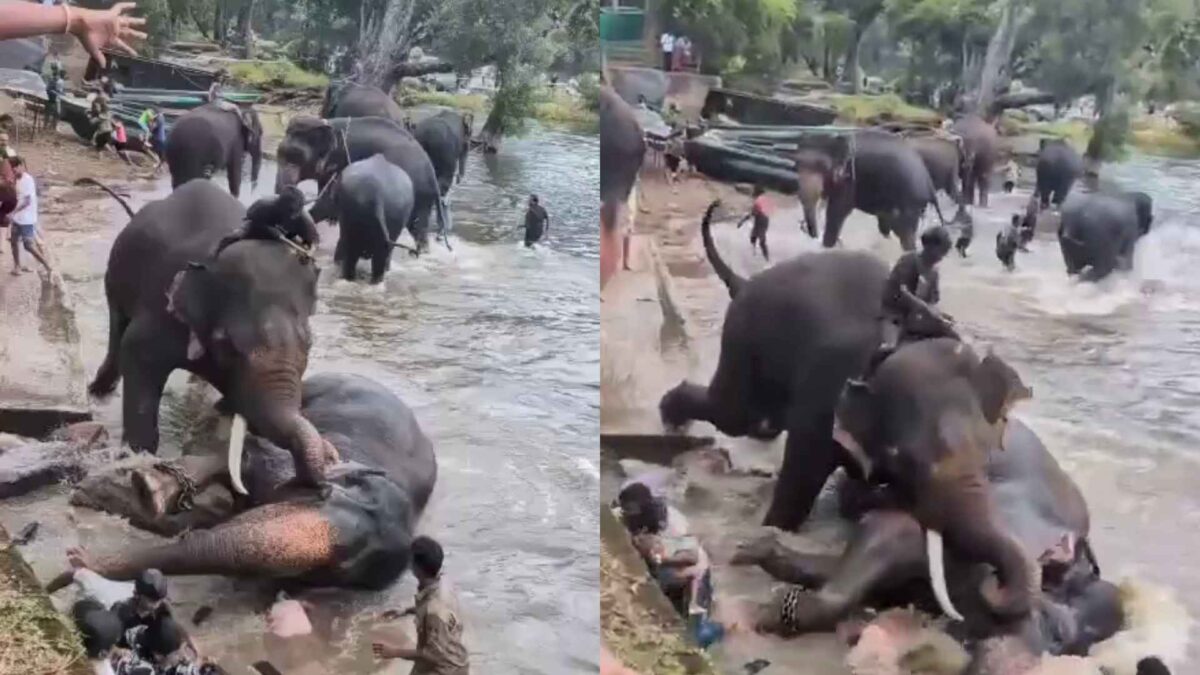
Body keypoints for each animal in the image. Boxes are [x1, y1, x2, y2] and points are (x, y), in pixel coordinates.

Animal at [82, 179, 331, 492]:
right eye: (230, 346)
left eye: (309, 345)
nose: (317, 484)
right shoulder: (162, 307)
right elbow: (136, 353)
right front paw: (138, 457)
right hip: (116, 274)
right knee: (117, 326)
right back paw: (99, 390)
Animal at [276, 115, 447, 253]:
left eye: (295, 158)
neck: (327, 124)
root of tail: (432, 174)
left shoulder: (343, 161)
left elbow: (327, 202)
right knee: (416, 224)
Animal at [308, 154, 415, 283]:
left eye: (326, 196)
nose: (310, 212)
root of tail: (377, 194)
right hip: (396, 213)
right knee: (381, 256)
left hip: (352, 216)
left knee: (350, 255)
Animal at [659, 201, 891, 530]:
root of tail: (746, 283)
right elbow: (798, 482)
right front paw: (771, 529)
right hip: (743, 344)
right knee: (732, 413)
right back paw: (671, 415)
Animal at [794, 129, 945, 252]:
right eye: (797, 165)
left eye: (823, 167)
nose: (804, 227)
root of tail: (929, 184)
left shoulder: (850, 179)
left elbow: (837, 210)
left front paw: (827, 247)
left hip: (910, 200)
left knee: (902, 228)